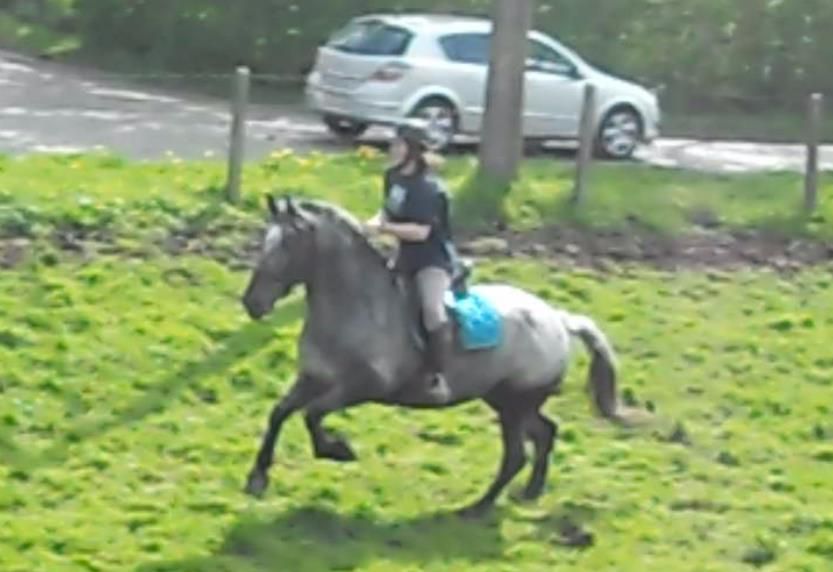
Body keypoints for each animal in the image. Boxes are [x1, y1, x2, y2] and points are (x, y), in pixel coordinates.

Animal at [240, 195, 621, 519]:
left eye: (287, 244)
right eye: (265, 240)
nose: (252, 303)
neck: (357, 307)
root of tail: (558, 318)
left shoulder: (361, 387)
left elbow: (312, 414)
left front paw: (338, 450)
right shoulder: (313, 378)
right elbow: (280, 412)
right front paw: (258, 477)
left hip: (516, 404)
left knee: (516, 454)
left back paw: (477, 508)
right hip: (506, 400)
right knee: (545, 433)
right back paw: (529, 492)